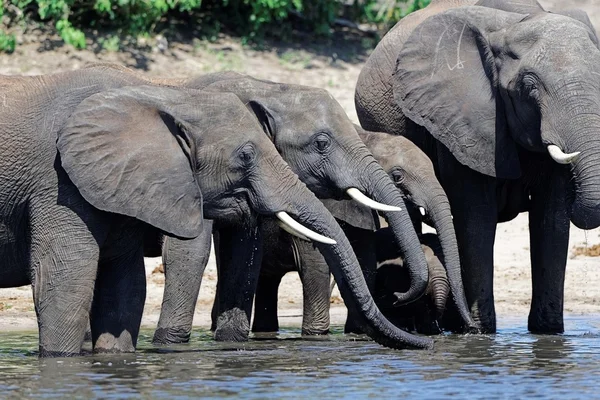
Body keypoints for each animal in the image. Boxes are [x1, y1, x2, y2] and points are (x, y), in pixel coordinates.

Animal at [0, 65, 432, 356]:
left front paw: (230, 344)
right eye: (322, 143)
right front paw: (172, 347)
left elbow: (243, 254)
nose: (427, 342)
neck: (269, 87)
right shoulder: (61, 183)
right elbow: (189, 252)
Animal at [251, 126, 466, 336]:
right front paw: (316, 334)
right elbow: (314, 262)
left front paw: (359, 332)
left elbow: (365, 260)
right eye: (397, 177)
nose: (397, 297)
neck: (364, 138)